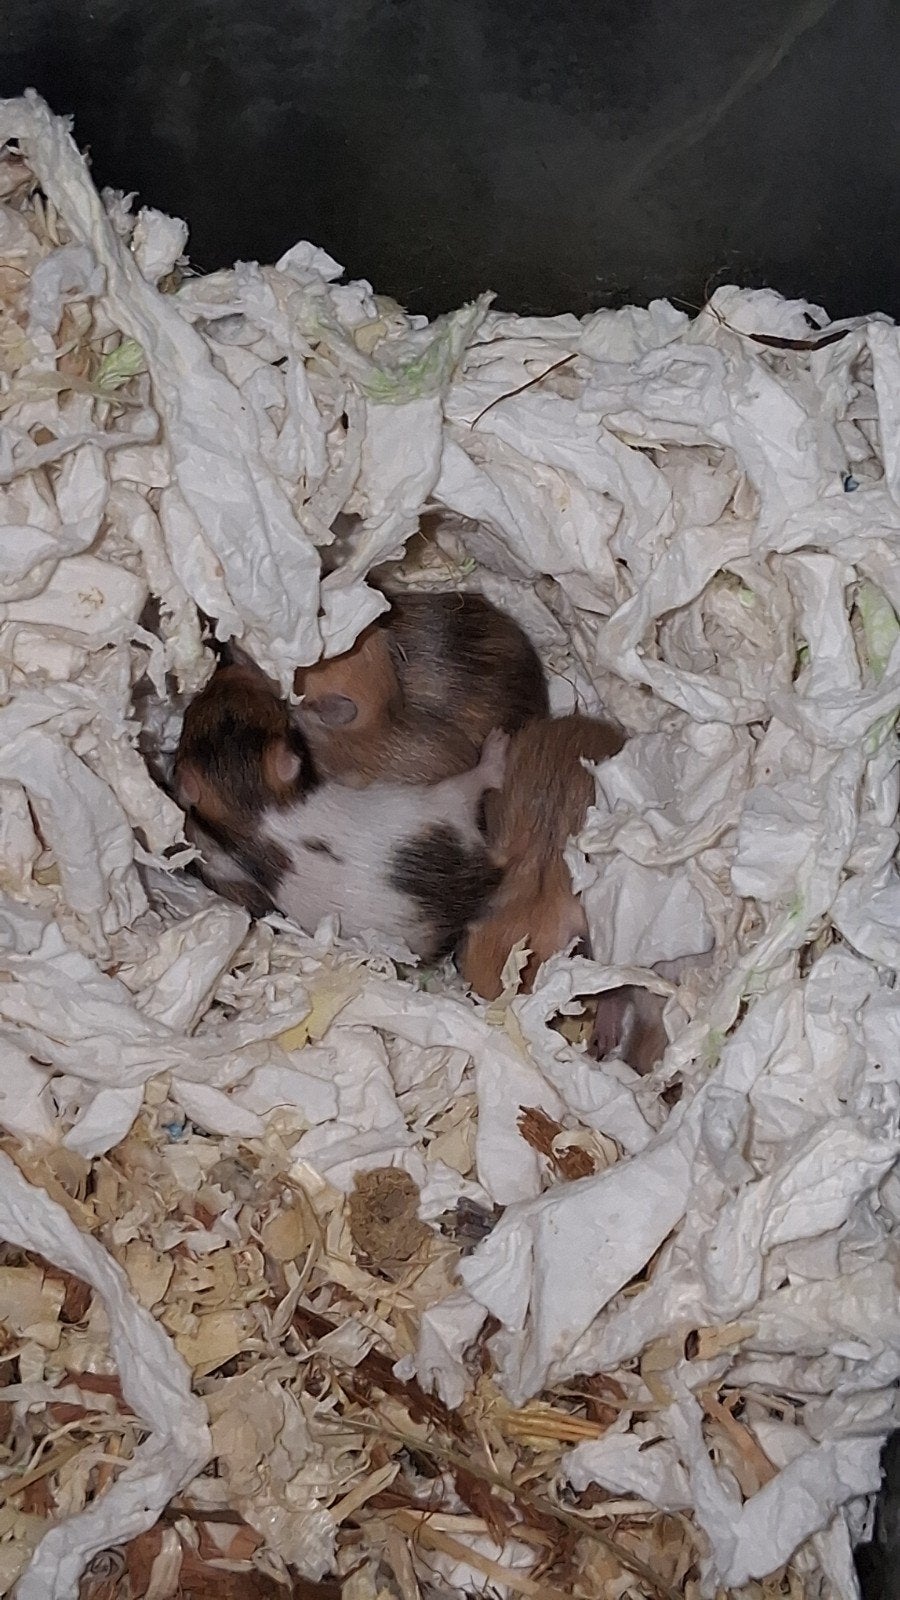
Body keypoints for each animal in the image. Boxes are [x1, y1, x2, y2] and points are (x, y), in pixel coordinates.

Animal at [174, 657, 507, 958]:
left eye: (192, 714)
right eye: (275, 711)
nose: (232, 668)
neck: (252, 805)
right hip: (439, 802)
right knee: (476, 782)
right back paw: (497, 747)